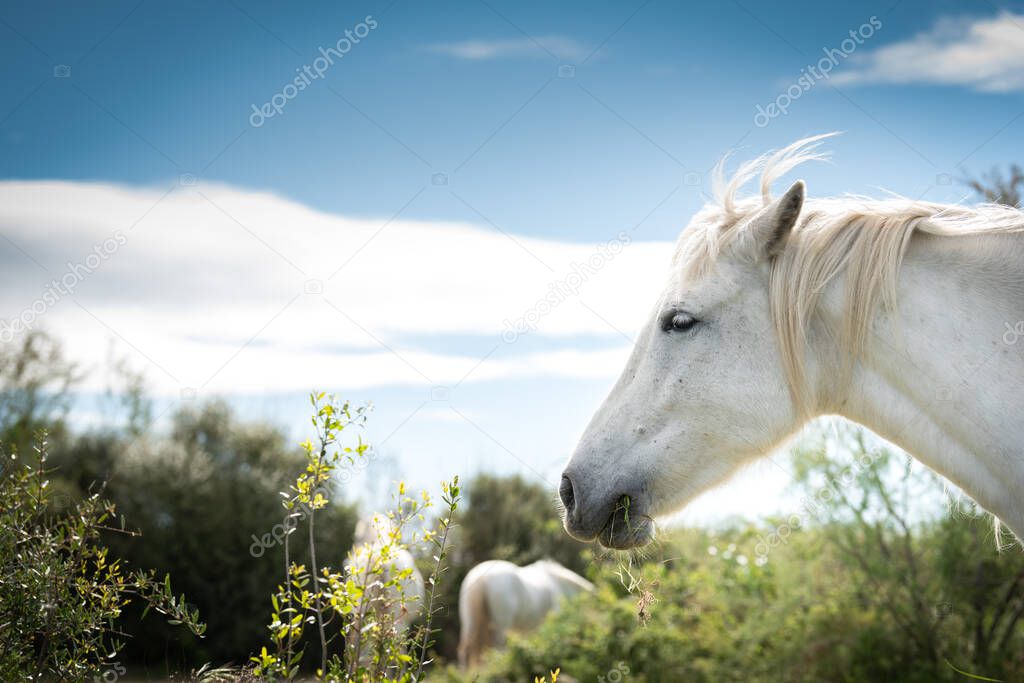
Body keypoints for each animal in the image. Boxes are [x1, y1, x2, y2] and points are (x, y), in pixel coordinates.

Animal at [458, 561, 593, 667]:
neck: (558, 584)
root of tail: (481, 577)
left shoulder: (527, 632)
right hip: (501, 626)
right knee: (496, 648)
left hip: (471, 622)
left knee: (467, 649)